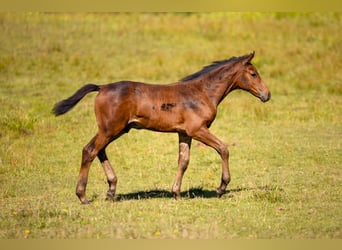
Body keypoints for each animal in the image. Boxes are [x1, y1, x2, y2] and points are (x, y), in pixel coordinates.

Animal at [52, 51, 270, 204]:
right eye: (253, 74)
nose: (267, 95)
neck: (202, 93)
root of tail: (102, 87)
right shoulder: (197, 130)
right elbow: (223, 148)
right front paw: (221, 188)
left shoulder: (184, 133)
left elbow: (183, 161)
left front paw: (176, 193)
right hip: (110, 129)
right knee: (90, 150)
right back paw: (83, 196)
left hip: (115, 129)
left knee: (98, 150)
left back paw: (111, 191)